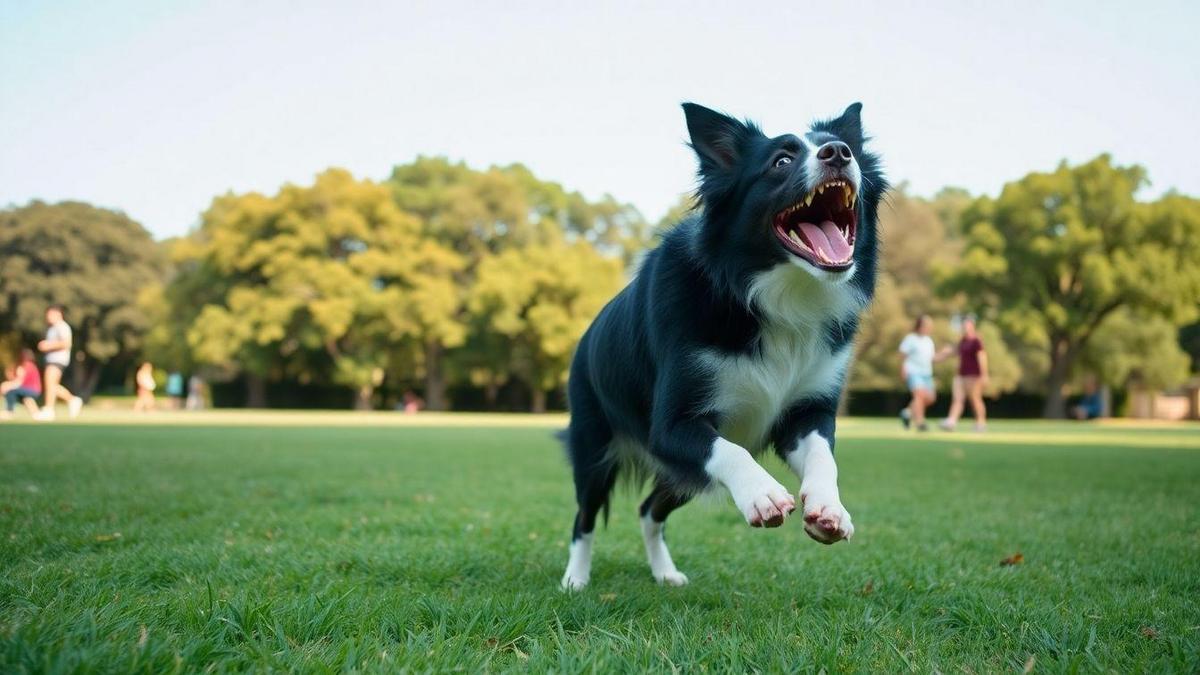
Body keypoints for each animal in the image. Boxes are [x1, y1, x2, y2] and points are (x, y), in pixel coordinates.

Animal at [559, 102, 883, 586]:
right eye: (781, 161)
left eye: (847, 150)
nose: (840, 153)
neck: (772, 295)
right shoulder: (672, 426)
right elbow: (728, 448)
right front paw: (763, 495)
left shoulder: (808, 413)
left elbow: (824, 455)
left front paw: (830, 508)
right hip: (594, 446)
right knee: (585, 516)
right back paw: (575, 579)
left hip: (680, 477)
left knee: (649, 510)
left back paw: (665, 573)